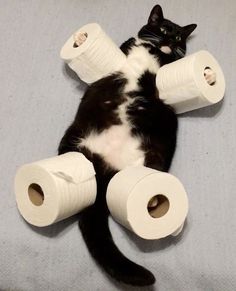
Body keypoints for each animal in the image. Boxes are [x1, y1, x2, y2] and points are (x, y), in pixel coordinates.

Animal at [59, 4, 197, 288]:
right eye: (164, 28)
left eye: (179, 37)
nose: (169, 40)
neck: (154, 51)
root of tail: (105, 174)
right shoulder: (124, 49)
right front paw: (81, 39)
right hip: (73, 140)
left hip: (159, 144)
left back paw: (155, 203)